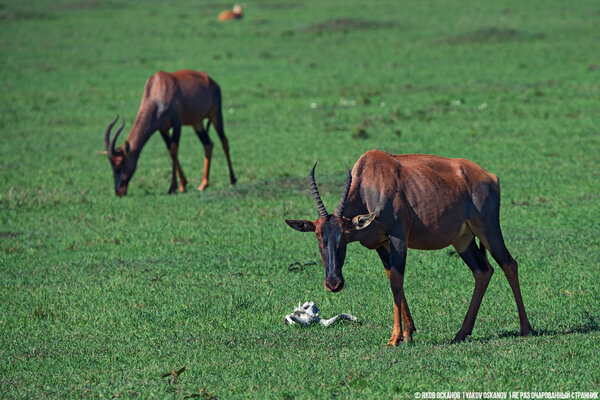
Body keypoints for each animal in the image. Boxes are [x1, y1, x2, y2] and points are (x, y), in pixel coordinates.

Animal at [103, 69, 237, 197]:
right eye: (112, 164)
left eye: (120, 163)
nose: (119, 192)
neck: (158, 88)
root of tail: (212, 82)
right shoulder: (162, 129)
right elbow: (170, 151)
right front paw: (182, 185)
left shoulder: (177, 122)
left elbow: (174, 149)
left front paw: (172, 188)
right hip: (197, 122)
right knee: (208, 144)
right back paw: (203, 184)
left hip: (216, 115)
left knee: (224, 142)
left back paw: (232, 180)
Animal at [286, 152, 536, 346]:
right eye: (318, 235)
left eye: (344, 234)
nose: (334, 283)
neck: (371, 181)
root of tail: (490, 177)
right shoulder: (382, 244)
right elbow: (393, 279)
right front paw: (408, 334)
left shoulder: (398, 236)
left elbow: (397, 282)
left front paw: (394, 339)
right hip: (463, 239)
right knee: (483, 271)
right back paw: (461, 333)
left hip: (488, 229)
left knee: (509, 264)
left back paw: (526, 329)